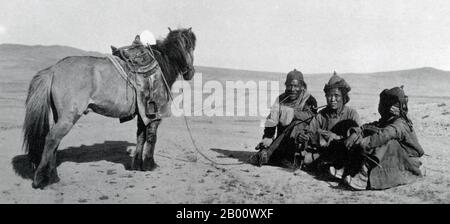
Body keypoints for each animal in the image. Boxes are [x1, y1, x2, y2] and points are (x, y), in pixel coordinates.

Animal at [22, 28, 195, 189]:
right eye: (191, 47)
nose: (190, 73)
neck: (161, 65)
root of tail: (53, 70)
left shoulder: (143, 113)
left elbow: (141, 136)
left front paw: (137, 165)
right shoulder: (155, 114)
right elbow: (152, 138)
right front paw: (150, 165)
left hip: (60, 116)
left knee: (55, 142)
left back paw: (53, 177)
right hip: (68, 117)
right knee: (52, 139)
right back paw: (39, 180)